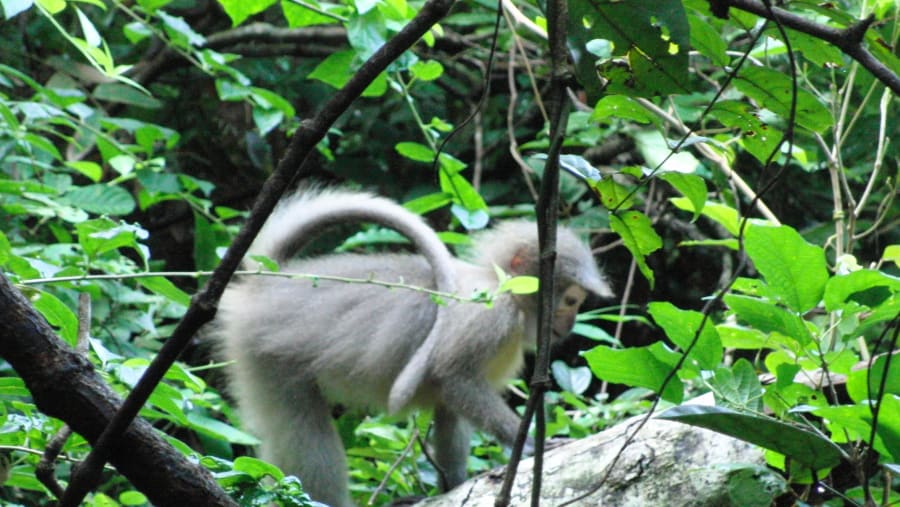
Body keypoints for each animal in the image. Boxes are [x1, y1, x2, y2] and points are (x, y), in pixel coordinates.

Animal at [212, 188, 611, 507]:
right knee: (306, 432)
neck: (501, 287)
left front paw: (452, 485)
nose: (569, 324)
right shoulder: (490, 317)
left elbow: (449, 405)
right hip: (263, 356)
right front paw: (529, 444)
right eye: (570, 300)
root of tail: (267, 284)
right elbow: (455, 378)